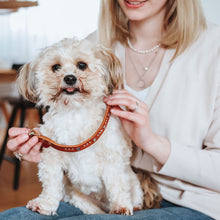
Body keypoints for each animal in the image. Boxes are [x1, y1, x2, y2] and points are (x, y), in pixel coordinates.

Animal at [17, 38, 144, 216]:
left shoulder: (113, 160)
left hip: (134, 185)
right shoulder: (51, 157)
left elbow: (117, 185)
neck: (75, 112)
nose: (69, 78)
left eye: (82, 65)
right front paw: (45, 204)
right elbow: (51, 185)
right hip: (75, 195)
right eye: (55, 67)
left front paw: (121, 206)